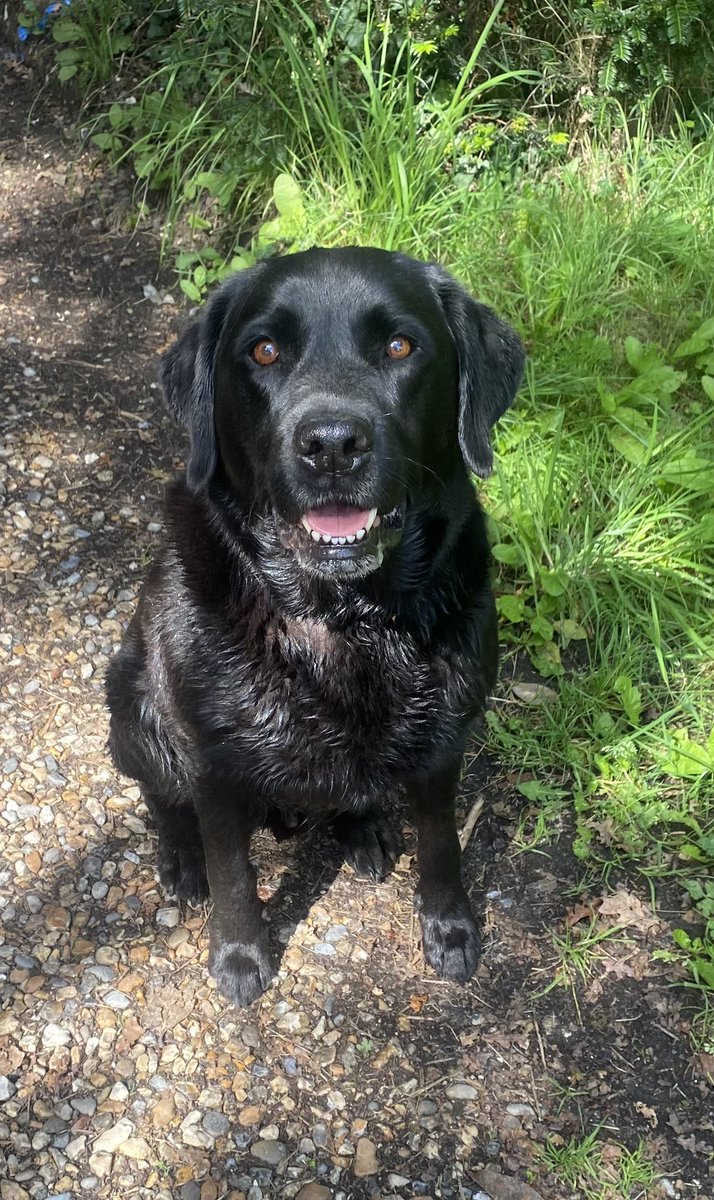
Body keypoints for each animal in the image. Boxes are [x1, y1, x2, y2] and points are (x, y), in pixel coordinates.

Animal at [106, 248, 523, 1008]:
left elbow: (443, 842)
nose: (331, 444)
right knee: (160, 795)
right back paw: (180, 858)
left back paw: (361, 827)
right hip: (135, 705)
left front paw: (450, 928)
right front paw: (239, 954)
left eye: (400, 346)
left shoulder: (446, 738)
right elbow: (233, 871)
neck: (346, 619)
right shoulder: (213, 763)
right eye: (264, 351)